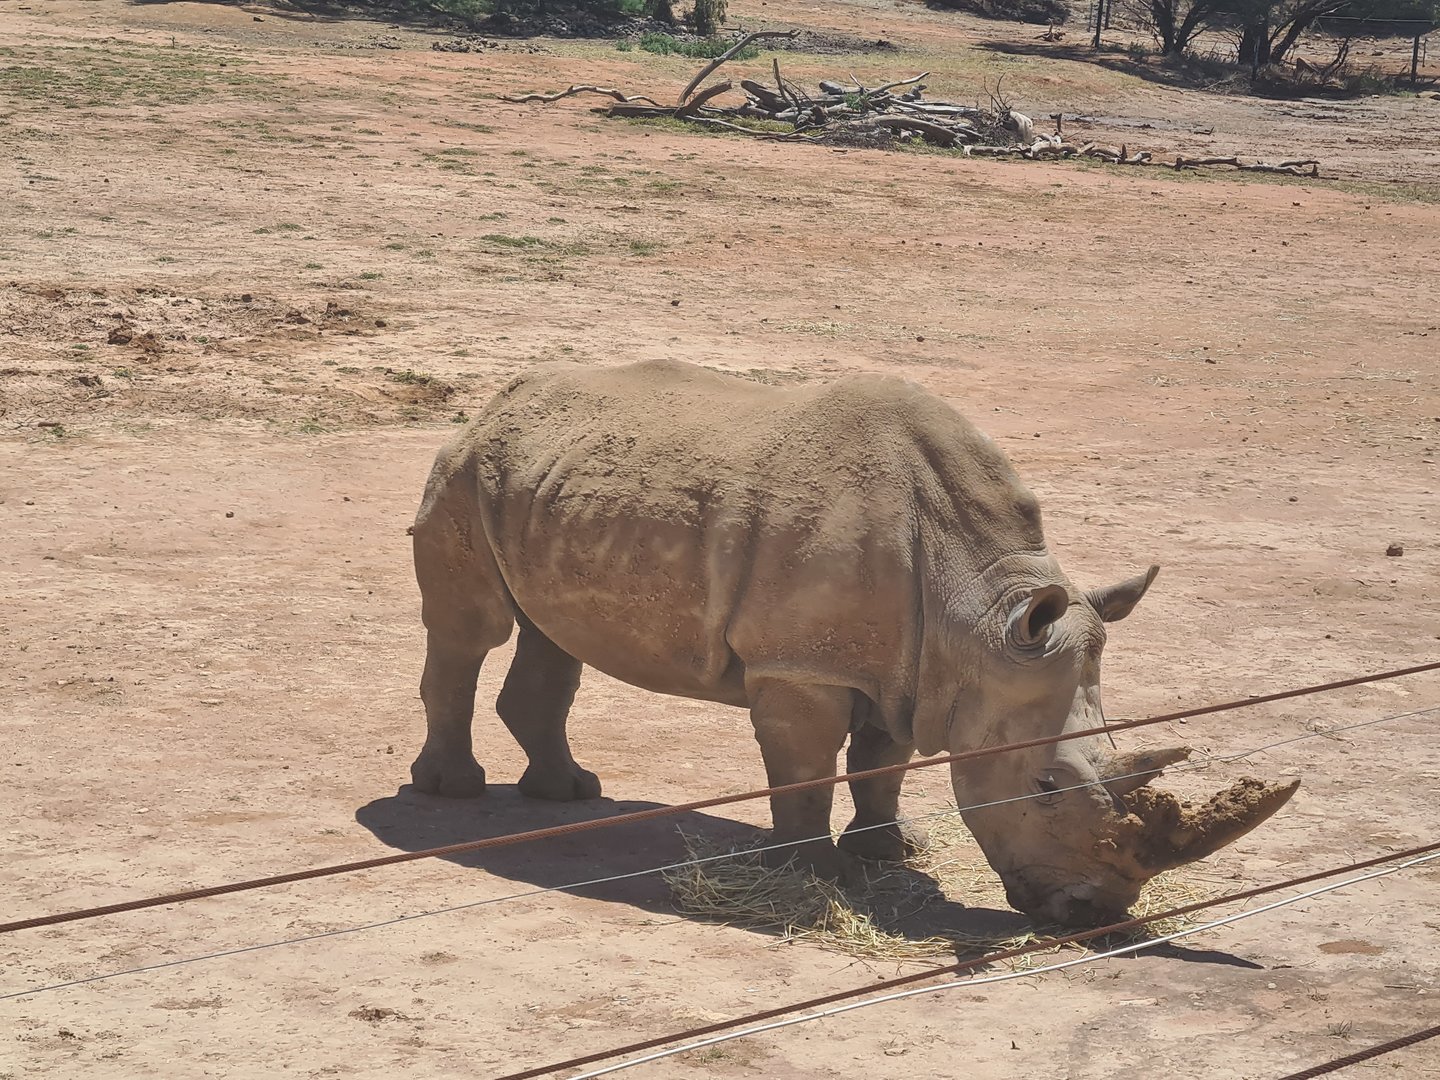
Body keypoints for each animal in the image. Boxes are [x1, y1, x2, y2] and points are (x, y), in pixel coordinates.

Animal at [409, 359, 1298, 927]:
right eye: (1045, 787)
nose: (1094, 913)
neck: (979, 613)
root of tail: (495, 403)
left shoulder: (909, 663)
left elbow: (882, 760)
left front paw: (887, 852)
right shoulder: (801, 663)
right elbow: (806, 765)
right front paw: (811, 869)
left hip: (543, 482)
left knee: (549, 634)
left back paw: (567, 796)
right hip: (462, 470)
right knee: (473, 628)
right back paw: (453, 792)